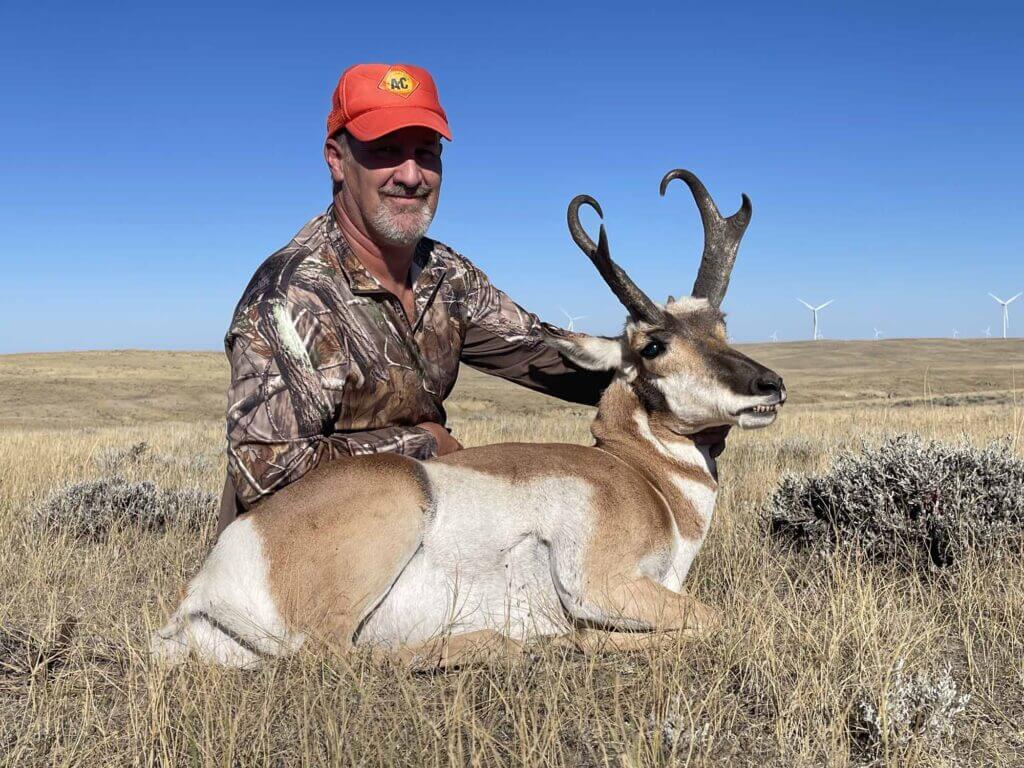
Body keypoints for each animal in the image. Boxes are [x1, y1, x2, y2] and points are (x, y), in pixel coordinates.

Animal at [151, 170, 786, 668]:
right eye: (653, 346)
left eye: (722, 326)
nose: (770, 386)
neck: (643, 477)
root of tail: (204, 589)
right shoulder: (602, 585)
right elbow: (714, 620)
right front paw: (576, 640)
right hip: (397, 505)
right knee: (334, 655)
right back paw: (507, 643)